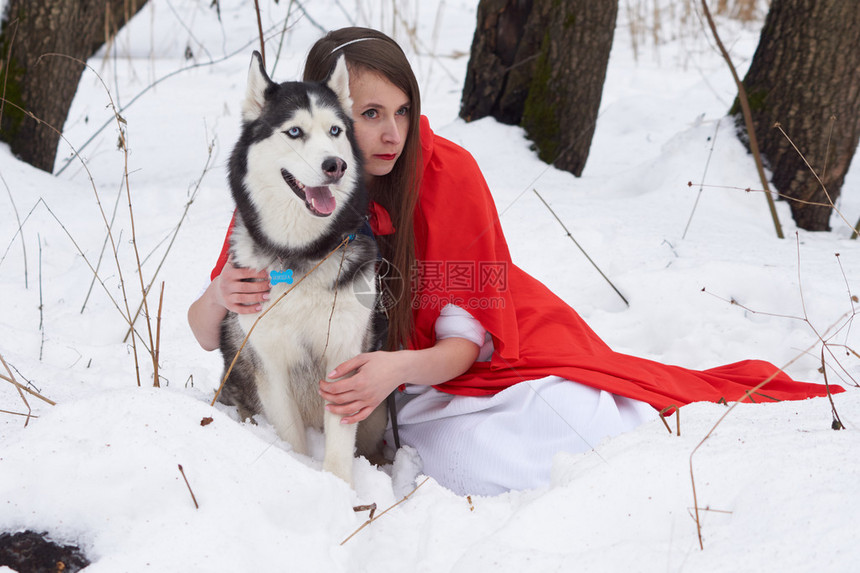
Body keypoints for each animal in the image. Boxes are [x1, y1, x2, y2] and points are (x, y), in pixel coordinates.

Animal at [218, 51, 386, 484]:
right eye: (294, 132)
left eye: (335, 130)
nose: (335, 165)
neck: (301, 256)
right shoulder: (270, 363)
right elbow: (291, 438)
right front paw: (302, 472)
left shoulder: (344, 360)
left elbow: (340, 448)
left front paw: (338, 489)